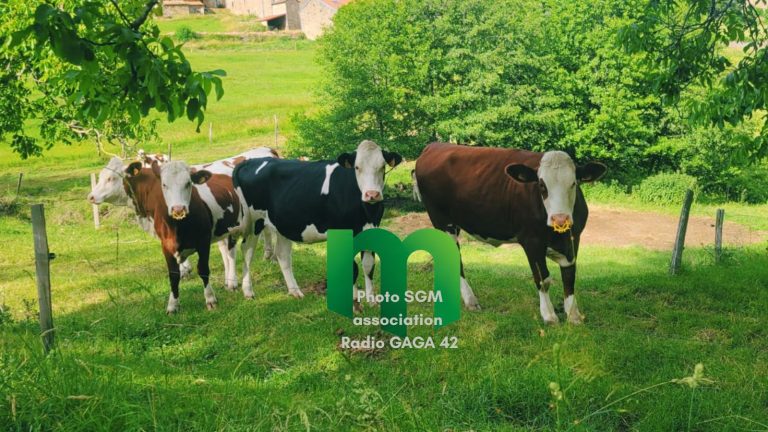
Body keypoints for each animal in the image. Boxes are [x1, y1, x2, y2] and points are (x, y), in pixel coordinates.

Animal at [232, 140, 403, 300]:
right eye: (357, 167)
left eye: (382, 167)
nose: (372, 194)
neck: (367, 212)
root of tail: (249, 162)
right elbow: (352, 267)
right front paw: (354, 300)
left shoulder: (371, 229)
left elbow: (368, 265)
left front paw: (372, 300)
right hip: (253, 223)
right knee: (247, 251)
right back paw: (248, 291)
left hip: (282, 224)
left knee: (282, 254)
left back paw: (295, 292)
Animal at [414, 143, 606, 324]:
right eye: (541, 185)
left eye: (574, 183)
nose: (560, 219)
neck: (558, 236)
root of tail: (434, 146)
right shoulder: (531, 241)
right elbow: (543, 279)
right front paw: (549, 315)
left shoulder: (573, 239)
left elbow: (569, 276)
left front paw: (573, 315)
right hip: (441, 220)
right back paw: (470, 300)